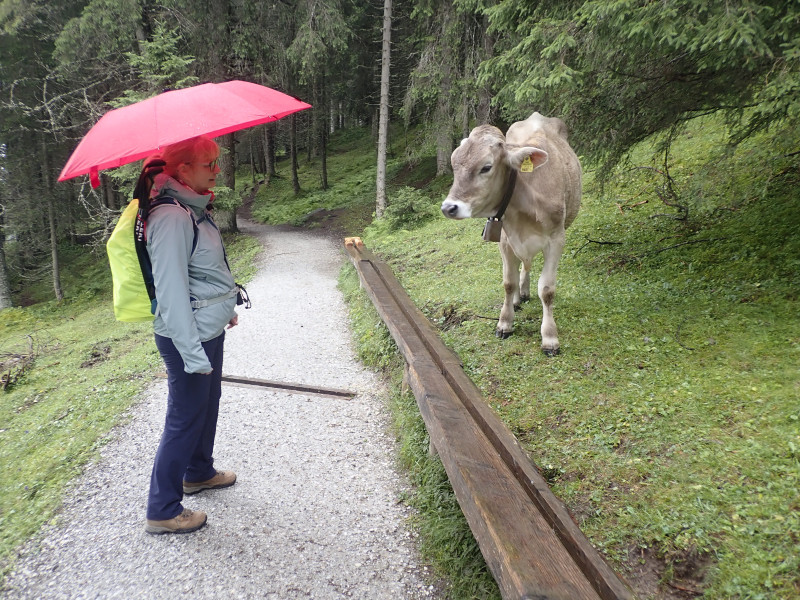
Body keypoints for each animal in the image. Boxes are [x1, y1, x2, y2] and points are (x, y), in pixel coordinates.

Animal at [438, 112, 580, 354]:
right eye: (455, 165)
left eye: (486, 167)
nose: (449, 208)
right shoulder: (505, 241)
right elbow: (508, 282)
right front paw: (505, 322)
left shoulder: (556, 239)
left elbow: (547, 289)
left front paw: (550, 337)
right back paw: (518, 296)